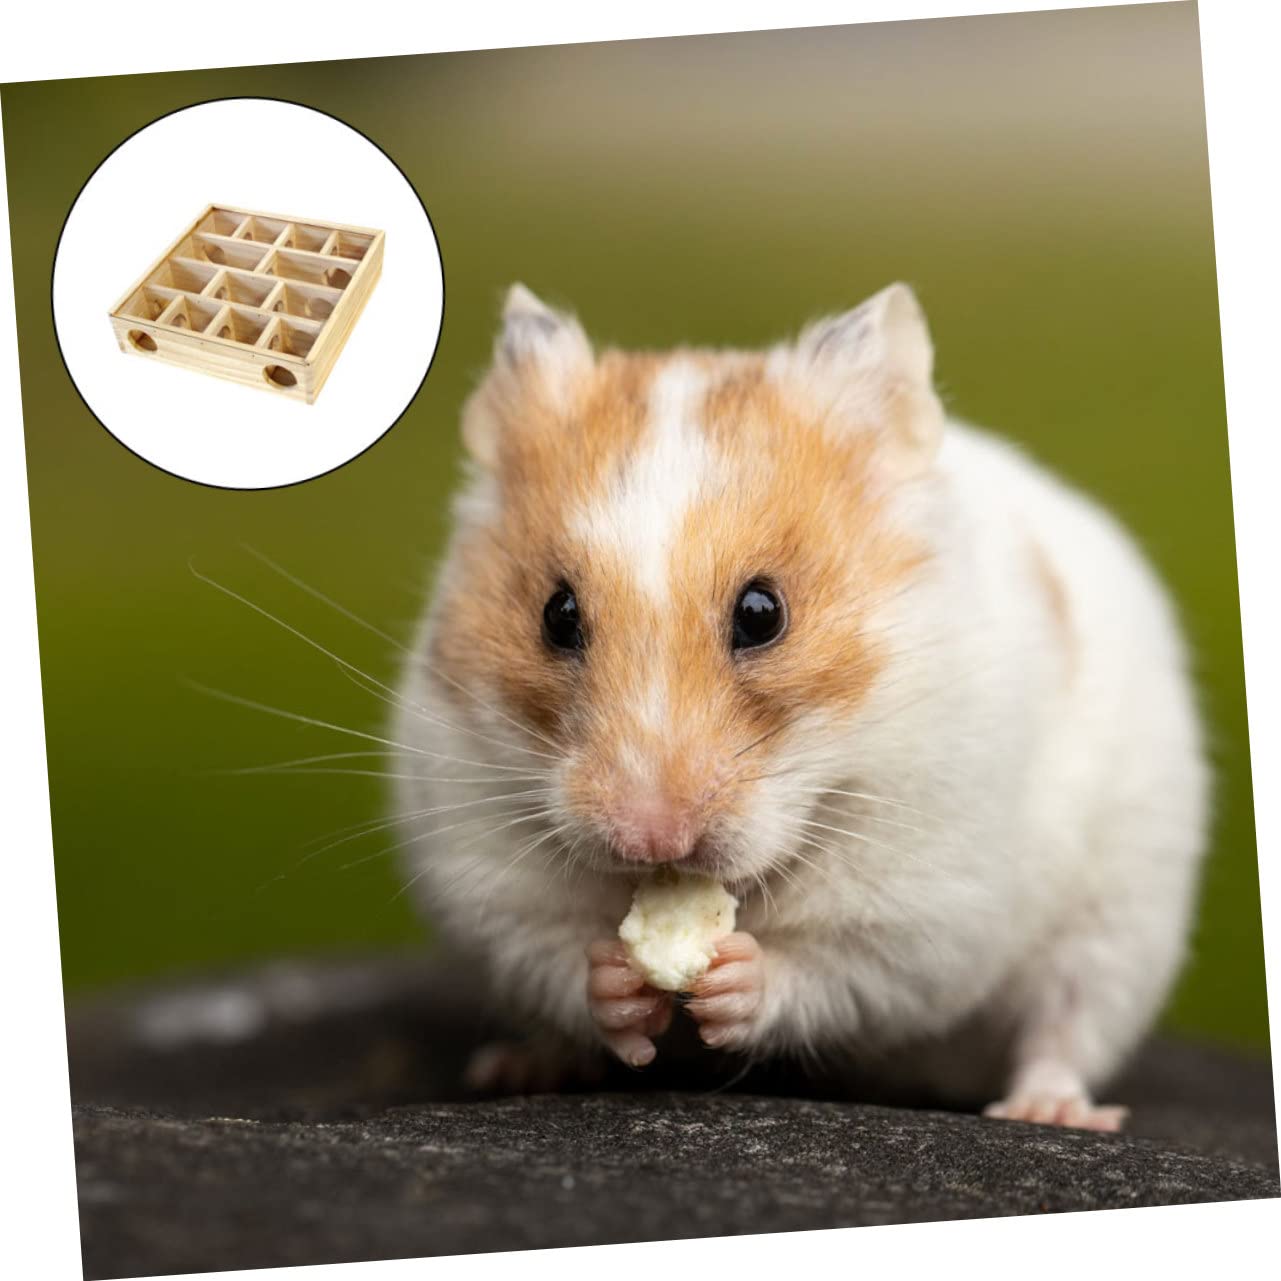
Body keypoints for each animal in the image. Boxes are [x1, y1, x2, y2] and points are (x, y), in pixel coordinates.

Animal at [393, 281, 1208, 1129]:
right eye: (556, 614)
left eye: (762, 613)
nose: (652, 839)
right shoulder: (486, 875)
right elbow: (556, 956)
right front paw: (617, 981)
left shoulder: (921, 909)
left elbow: (827, 970)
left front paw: (732, 978)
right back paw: (518, 1066)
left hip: (1119, 924)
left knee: (1065, 1026)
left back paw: (1047, 1110)